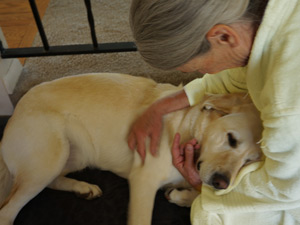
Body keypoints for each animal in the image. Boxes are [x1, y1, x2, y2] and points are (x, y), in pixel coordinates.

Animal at [0, 73, 262, 224]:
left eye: (249, 160)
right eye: (231, 139)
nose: (222, 183)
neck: (186, 125)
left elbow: (200, 196)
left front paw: (181, 196)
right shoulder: (143, 182)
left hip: (74, 156)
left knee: (53, 182)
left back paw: (83, 187)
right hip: (51, 157)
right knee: (7, 211)